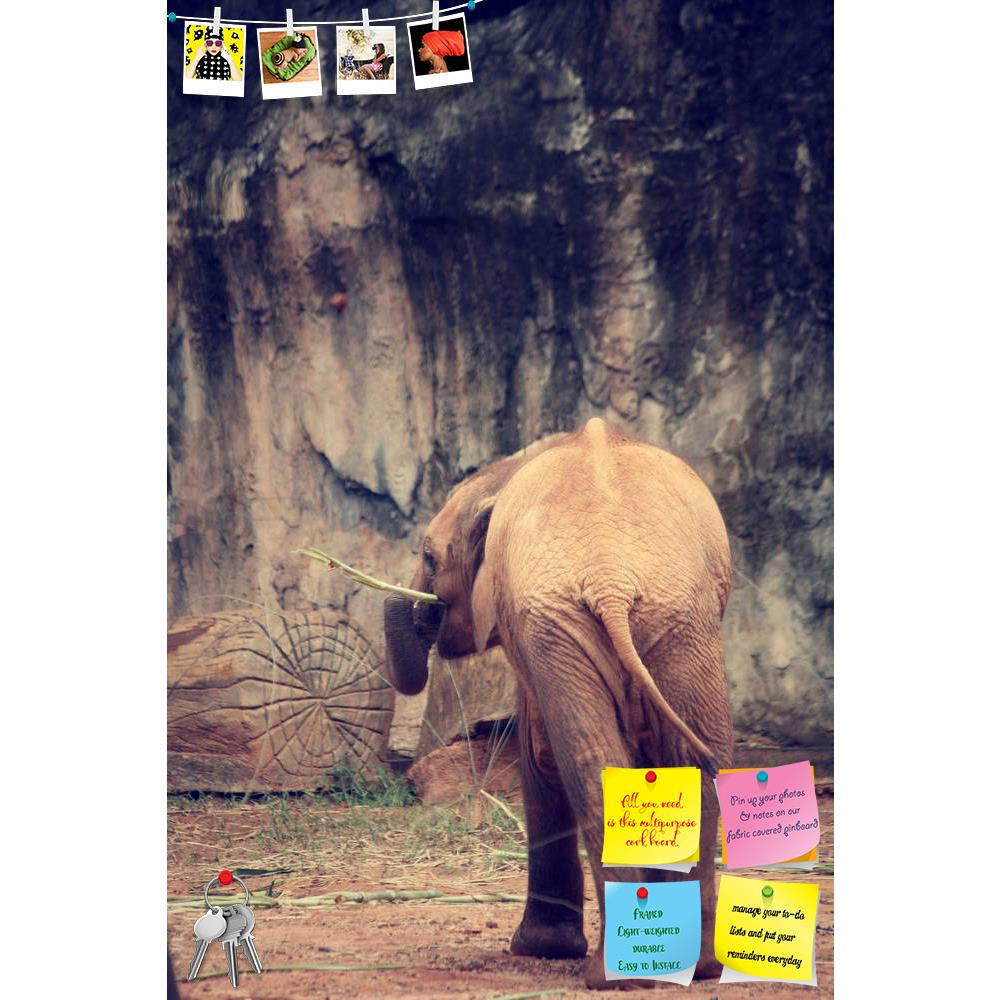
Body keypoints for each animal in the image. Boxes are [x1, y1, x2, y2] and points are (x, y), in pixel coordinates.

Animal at [383, 417, 734, 988]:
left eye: (430, 557)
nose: (424, 611)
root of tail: (613, 580)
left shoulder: (528, 631)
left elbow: (539, 754)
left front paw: (539, 950)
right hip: (679, 622)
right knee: (686, 758)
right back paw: (693, 968)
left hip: (601, 622)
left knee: (587, 761)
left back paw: (619, 974)